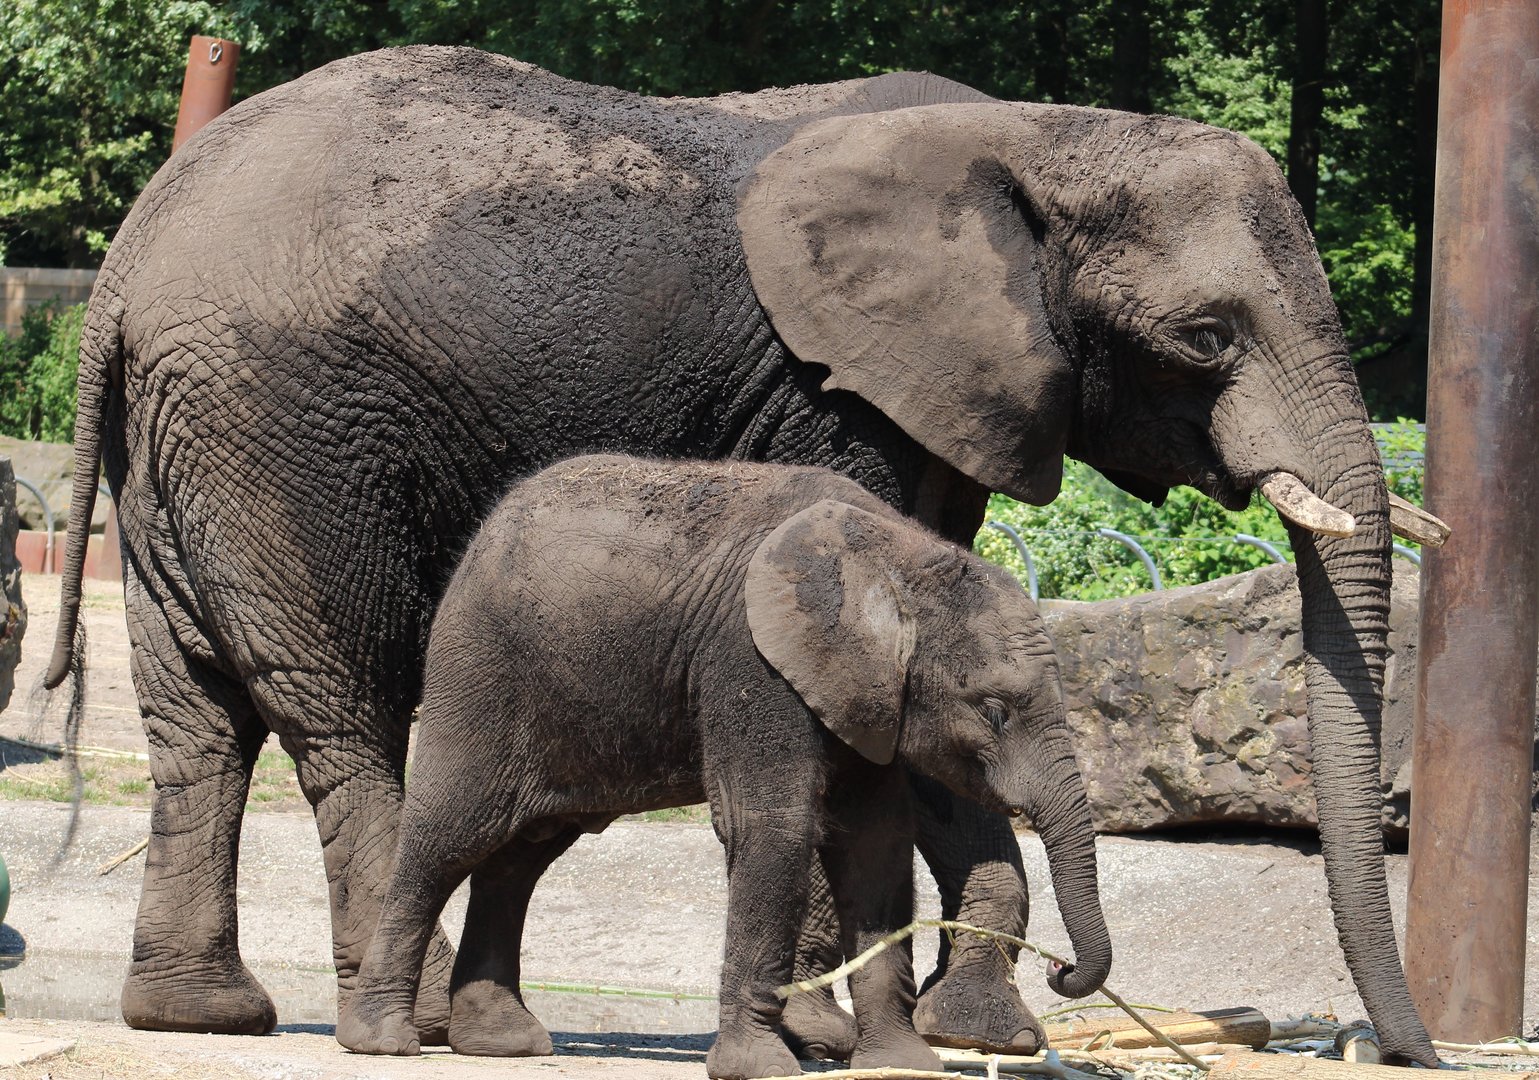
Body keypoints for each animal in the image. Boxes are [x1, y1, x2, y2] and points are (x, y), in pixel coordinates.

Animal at [335, 455, 1112, 1080]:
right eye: (995, 711)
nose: (1060, 967)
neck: (898, 557)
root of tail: (484, 532)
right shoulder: (751, 661)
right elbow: (773, 829)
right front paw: (760, 1069)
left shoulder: (863, 696)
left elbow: (876, 845)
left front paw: (903, 1065)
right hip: (479, 672)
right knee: (448, 838)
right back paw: (382, 1042)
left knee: (520, 857)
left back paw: (503, 1044)